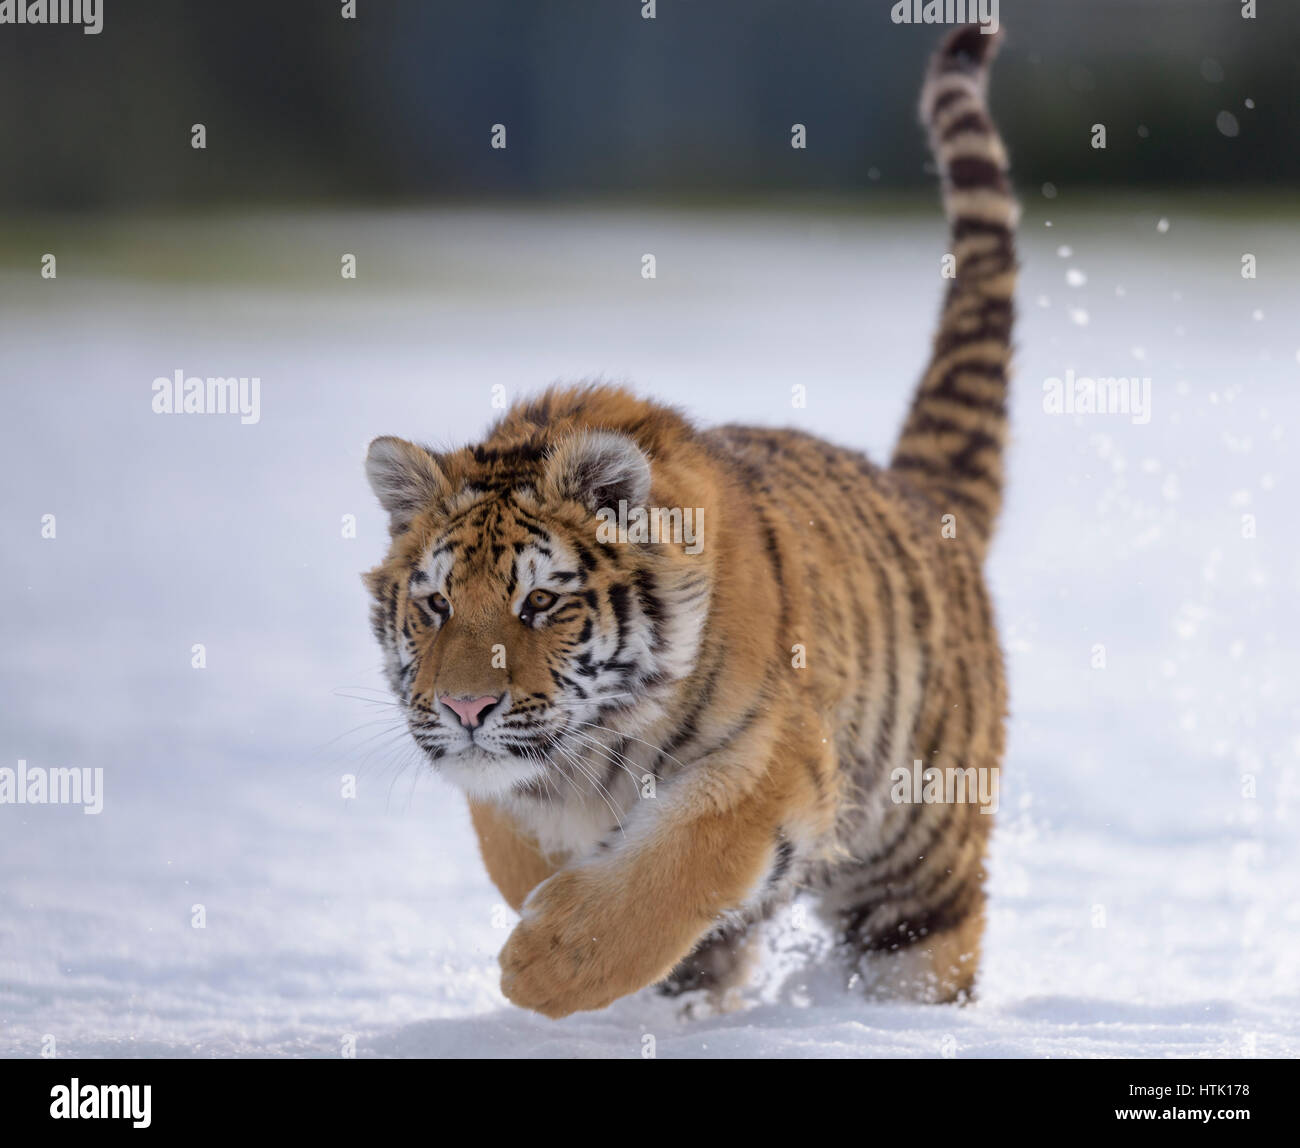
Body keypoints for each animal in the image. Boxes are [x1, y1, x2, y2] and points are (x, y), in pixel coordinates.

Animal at [362, 25, 1016, 1018]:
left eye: (539, 604)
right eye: (434, 606)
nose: (464, 707)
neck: (591, 756)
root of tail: (919, 496)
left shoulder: (773, 758)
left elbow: (676, 865)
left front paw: (546, 961)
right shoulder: (512, 785)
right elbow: (514, 838)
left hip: (917, 871)